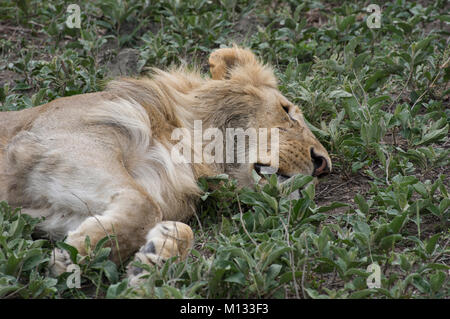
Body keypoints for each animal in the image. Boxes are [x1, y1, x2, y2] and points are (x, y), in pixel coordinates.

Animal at [0, 45, 330, 284]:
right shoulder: (60, 141)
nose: (323, 165)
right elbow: (145, 206)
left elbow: (177, 227)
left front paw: (155, 254)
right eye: (286, 111)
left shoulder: (54, 210)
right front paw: (76, 254)